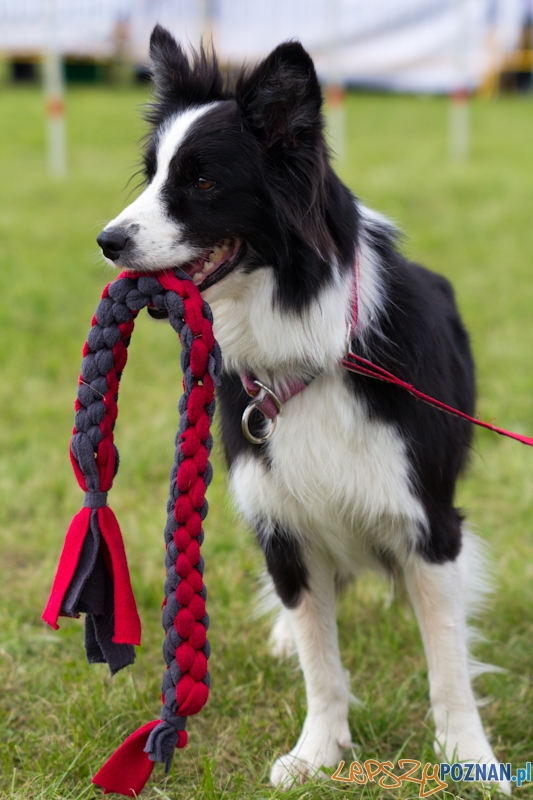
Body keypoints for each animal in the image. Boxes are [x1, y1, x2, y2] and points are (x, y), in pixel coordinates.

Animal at [96, 25, 512, 792]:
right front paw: (318, 752)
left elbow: (447, 661)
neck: (305, 344)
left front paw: (469, 757)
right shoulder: (283, 522)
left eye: (202, 180)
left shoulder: (427, 518)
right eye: (152, 173)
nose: (107, 242)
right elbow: (322, 660)